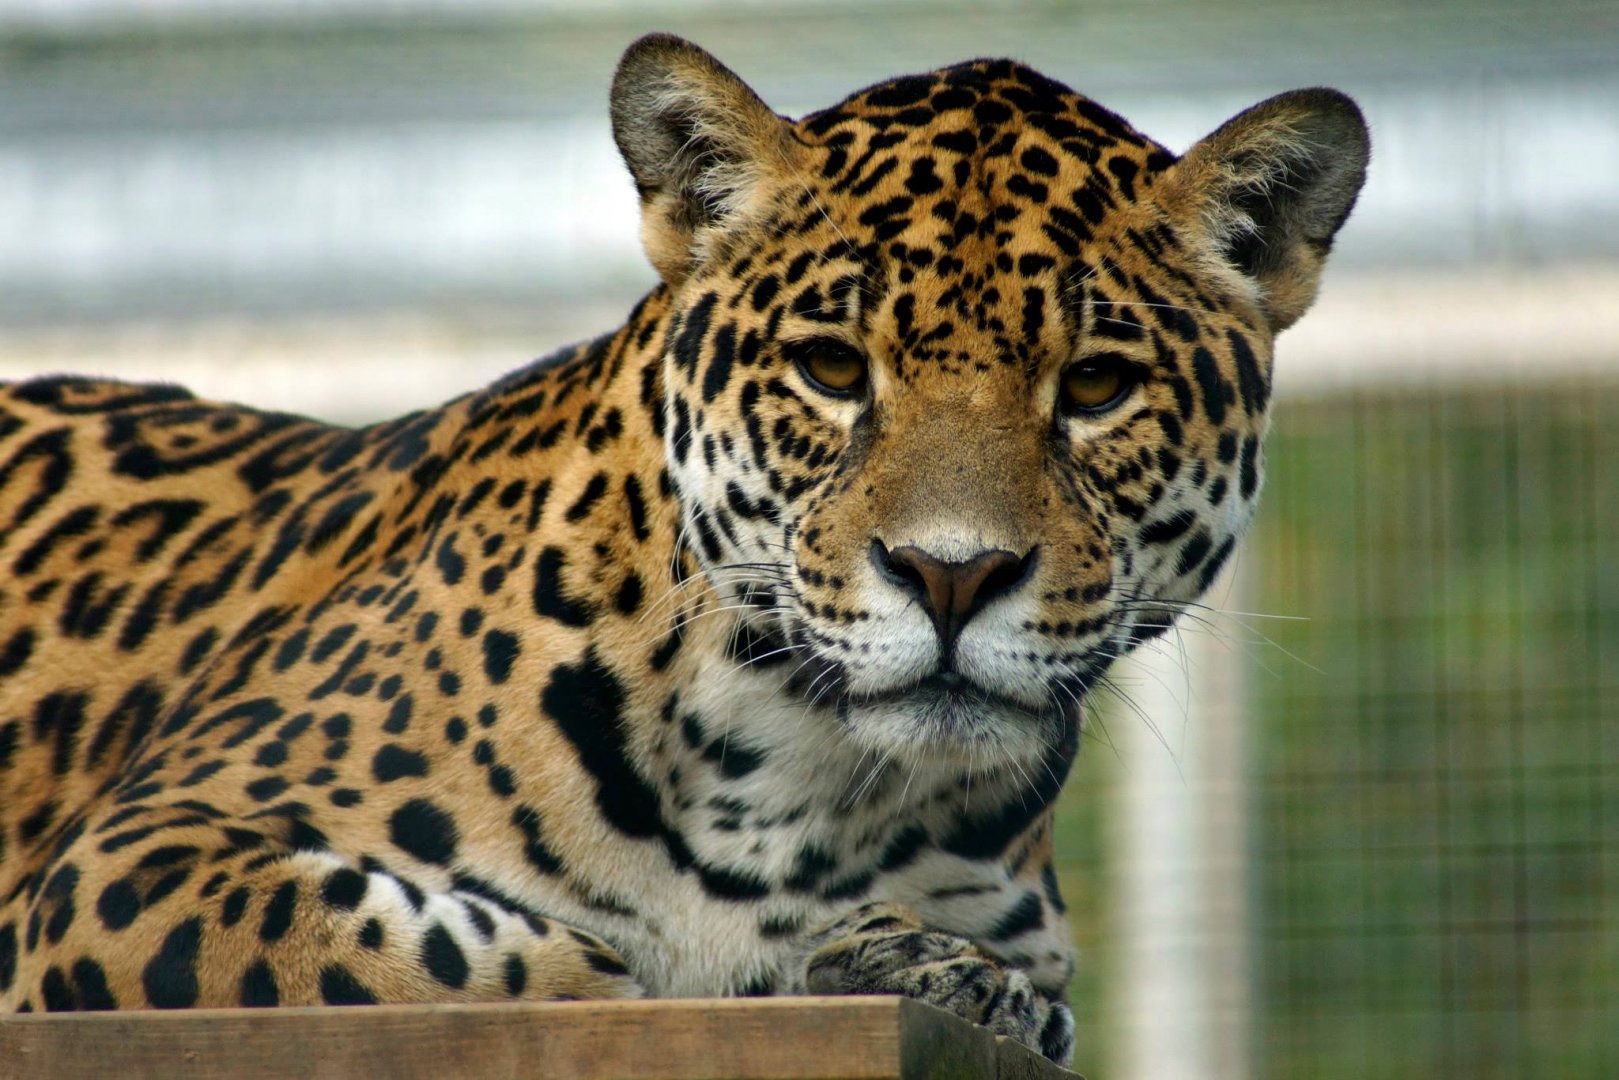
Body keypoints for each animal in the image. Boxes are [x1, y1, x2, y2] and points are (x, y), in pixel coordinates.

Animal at [0, 33, 1367, 1066]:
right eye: (831, 369)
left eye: (1093, 386)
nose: (949, 575)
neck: (811, 791)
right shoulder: (137, 860)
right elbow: (481, 965)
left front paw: (931, 974)